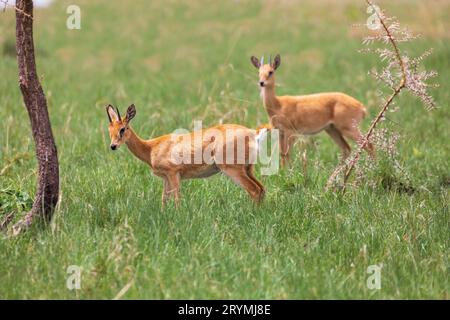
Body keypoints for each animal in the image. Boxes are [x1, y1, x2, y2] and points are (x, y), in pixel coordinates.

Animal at [107, 104, 266, 206]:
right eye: (110, 129)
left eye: (123, 128)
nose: (113, 146)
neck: (151, 147)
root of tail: (253, 133)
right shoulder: (166, 178)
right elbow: (164, 199)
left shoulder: (173, 173)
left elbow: (177, 198)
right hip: (248, 169)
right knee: (262, 189)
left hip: (232, 169)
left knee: (254, 190)